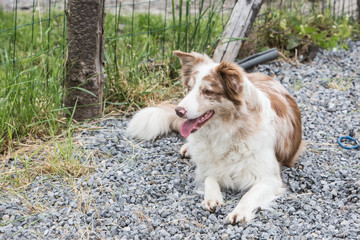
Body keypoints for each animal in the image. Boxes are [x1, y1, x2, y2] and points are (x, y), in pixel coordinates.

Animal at [126, 50, 304, 223]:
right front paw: (212, 197)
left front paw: (239, 212)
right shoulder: (210, 165)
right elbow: (210, 178)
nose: (178, 111)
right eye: (188, 88)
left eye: (207, 91)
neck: (228, 131)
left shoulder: (270, 178)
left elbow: (249, 195)